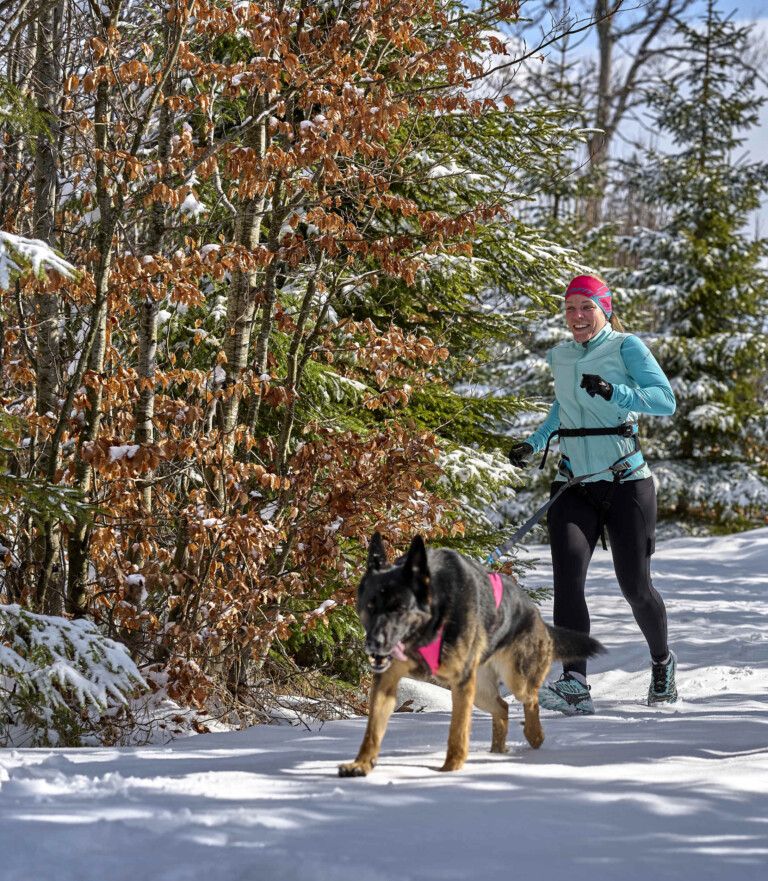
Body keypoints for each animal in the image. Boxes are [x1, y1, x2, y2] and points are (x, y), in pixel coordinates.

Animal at [338, 532, 605, 776]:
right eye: (370, 606)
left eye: (399, 608)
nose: (374, 644)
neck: (435, 615)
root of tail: (535, 614)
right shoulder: (386, 680)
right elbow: (372, 730)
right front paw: (362, 764)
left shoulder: (461, 683)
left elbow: (457, 730)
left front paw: (450, 768)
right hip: (480, 693)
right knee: (503, 708)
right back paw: (497, 752)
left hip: (514, 680)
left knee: (530, 699)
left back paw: (535, 735)